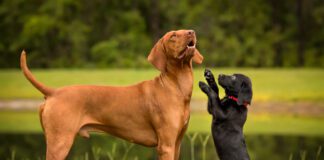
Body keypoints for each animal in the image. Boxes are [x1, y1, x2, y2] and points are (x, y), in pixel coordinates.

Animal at [20, 29, 202, 160]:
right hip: (59, 143)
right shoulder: (166, 146)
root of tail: (54, 92)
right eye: (173, 36)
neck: (175, 86)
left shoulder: (176, 144)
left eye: (185, 30)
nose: (192, 32)